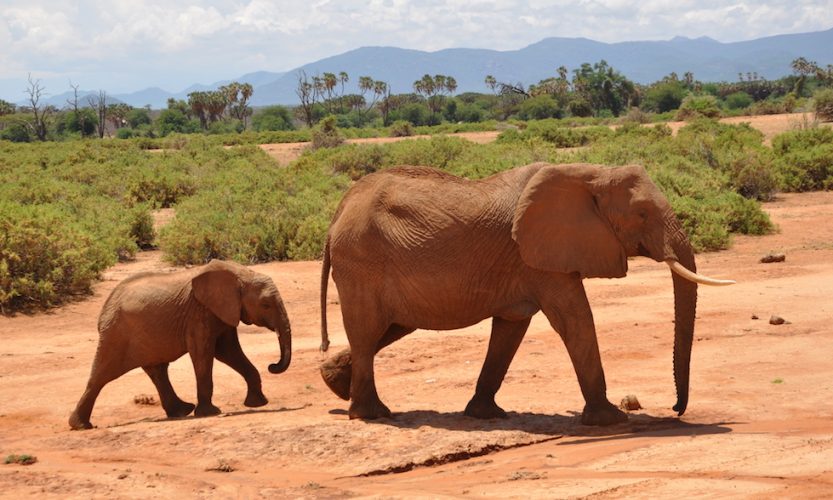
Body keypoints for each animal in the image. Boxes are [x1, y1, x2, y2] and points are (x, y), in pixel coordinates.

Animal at [70, 258, 294, 430]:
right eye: (266, 305)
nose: (272, 366)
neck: (241, 273)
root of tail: (104, 310)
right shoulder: (199, 313)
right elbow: (204, 353)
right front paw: (210, 413)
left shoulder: (221, 311)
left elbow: (228, 351)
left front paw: (257, 404)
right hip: (115, 335)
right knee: (101, 376)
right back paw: (80, 426)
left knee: (157, 371)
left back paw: (181, 411)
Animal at [316, 164, 728, 426]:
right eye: (642, 214)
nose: (676, 409)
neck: (590, 173)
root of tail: (336, 214)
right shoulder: (539, 258)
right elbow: (575, 319)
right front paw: (611, 419)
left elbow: (511, 329)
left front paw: (486, 415)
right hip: (361, 262)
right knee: (368, 330)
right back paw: (372, 414)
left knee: (383, 330)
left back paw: (334, 384)